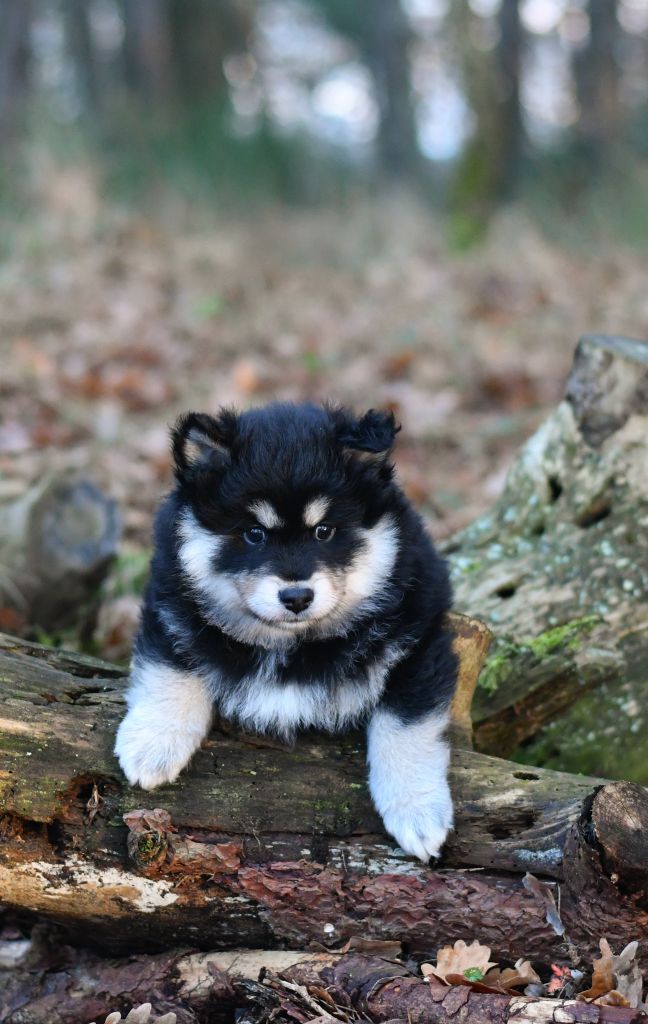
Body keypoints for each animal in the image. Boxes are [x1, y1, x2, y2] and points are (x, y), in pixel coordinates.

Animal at [117, 403, 460, 860]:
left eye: (324, 530)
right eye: (254, 533)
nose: (296, 596)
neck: (290, 645)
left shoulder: (420, 636)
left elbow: (405, 725)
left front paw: (417, 812)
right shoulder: (170, 602)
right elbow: (172, 669)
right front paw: (152, 745)